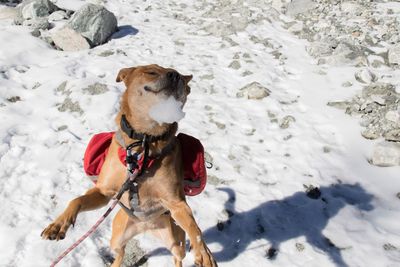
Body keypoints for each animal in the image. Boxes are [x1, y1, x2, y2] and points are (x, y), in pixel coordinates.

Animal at [41, 65, 216, 267]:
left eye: (179, 76)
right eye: (151, 71)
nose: (174, 75)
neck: (145, 141)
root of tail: (146, 227)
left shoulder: (176, 203)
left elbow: (196, 230)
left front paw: (203, 253)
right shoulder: (104, 192)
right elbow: (76, 200)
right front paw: (59, 224)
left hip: (176, 241)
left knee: (177, 256)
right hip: (117, 238)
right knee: (121, 252)